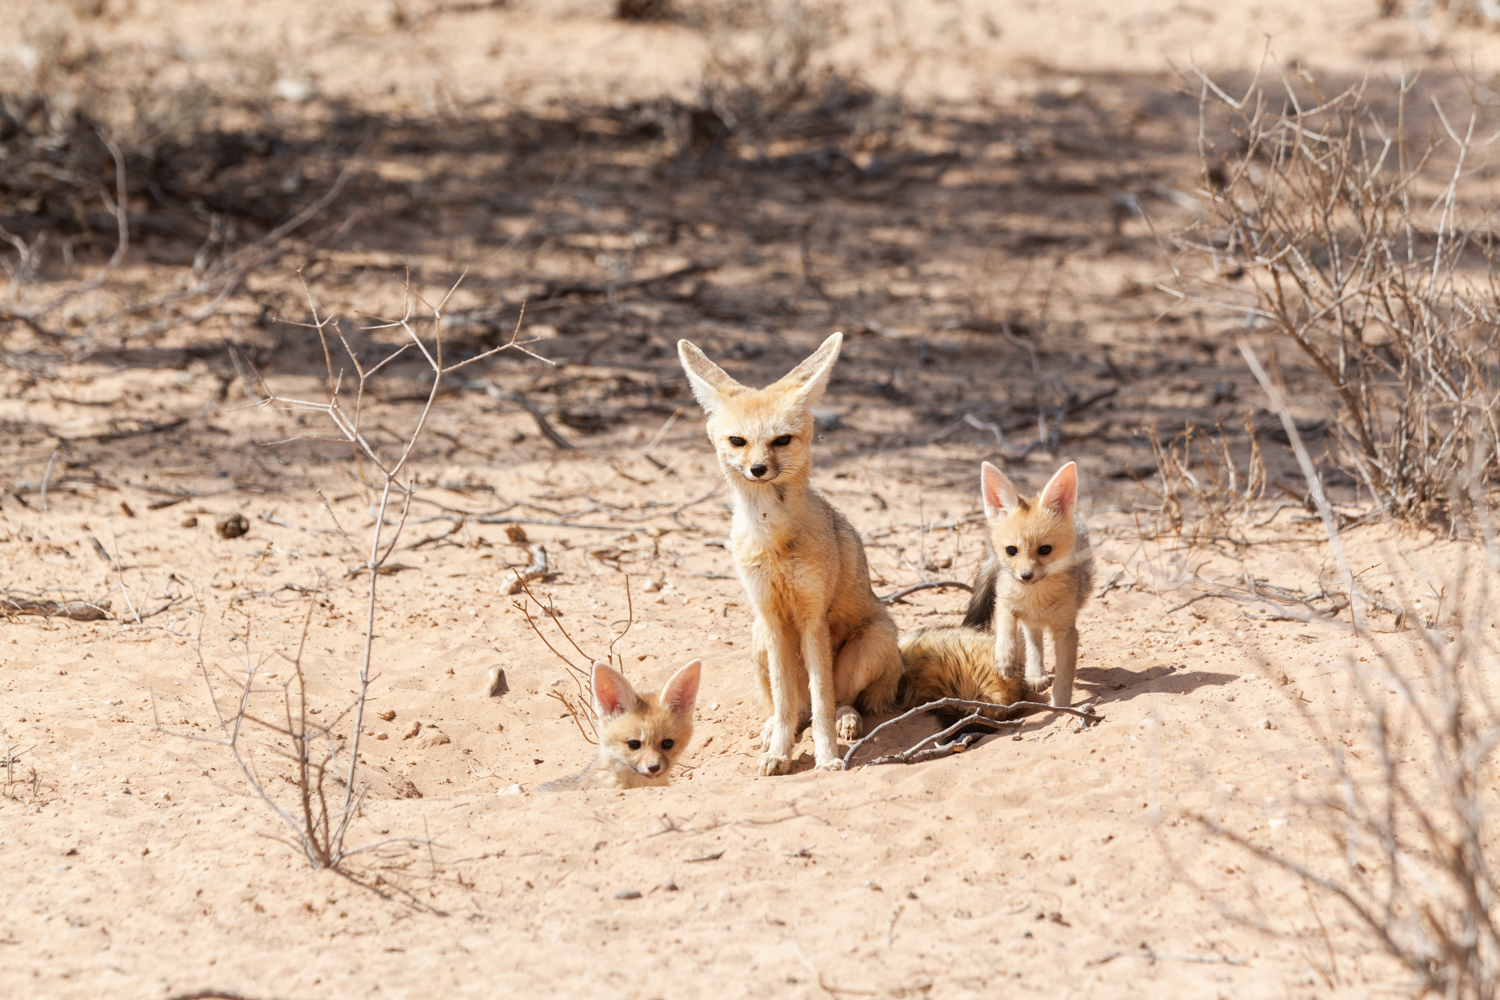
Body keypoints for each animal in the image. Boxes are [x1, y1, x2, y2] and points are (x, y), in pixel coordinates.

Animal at [681, 332, 900, 779]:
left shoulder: (812, 618)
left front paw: (827, 756)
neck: (773, 540)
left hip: (876, 637)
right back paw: (773, 731)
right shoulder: (772, 617)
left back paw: (846, 720)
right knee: (794, 708)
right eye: (738, 441)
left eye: (781, 440)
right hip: (758, 636)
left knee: (835, 701)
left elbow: (821, 702)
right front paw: (780, 753)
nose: (758, 469)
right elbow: (785, 704)